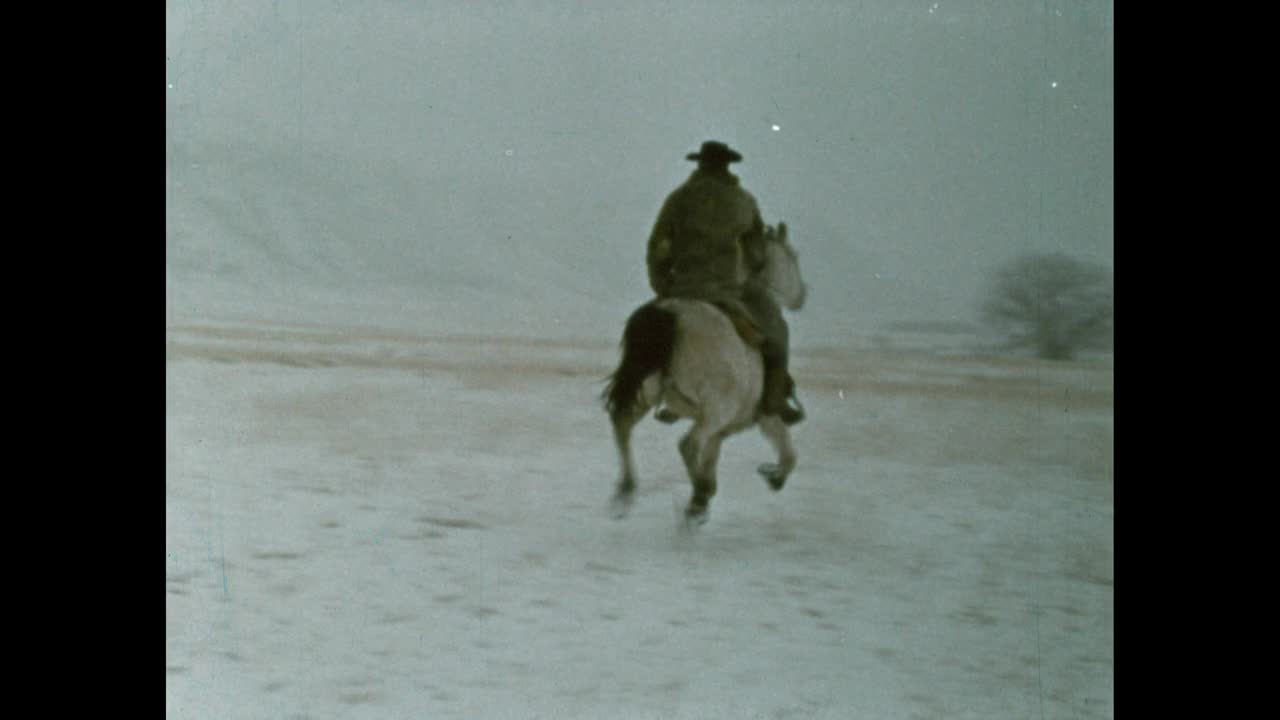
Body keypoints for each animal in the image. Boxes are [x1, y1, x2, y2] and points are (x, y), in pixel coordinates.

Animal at [601, 221, 803, 525]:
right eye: (793, 257)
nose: (802, 295)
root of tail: (672, 313)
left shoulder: (721, 430)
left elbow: (712, 456)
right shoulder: (765, 415)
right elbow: (789, 453)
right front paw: (775, 478)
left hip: (649, 392)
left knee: (622, 424)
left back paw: (627, 489)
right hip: (716, 407)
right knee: (687, 445)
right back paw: (697, 496)